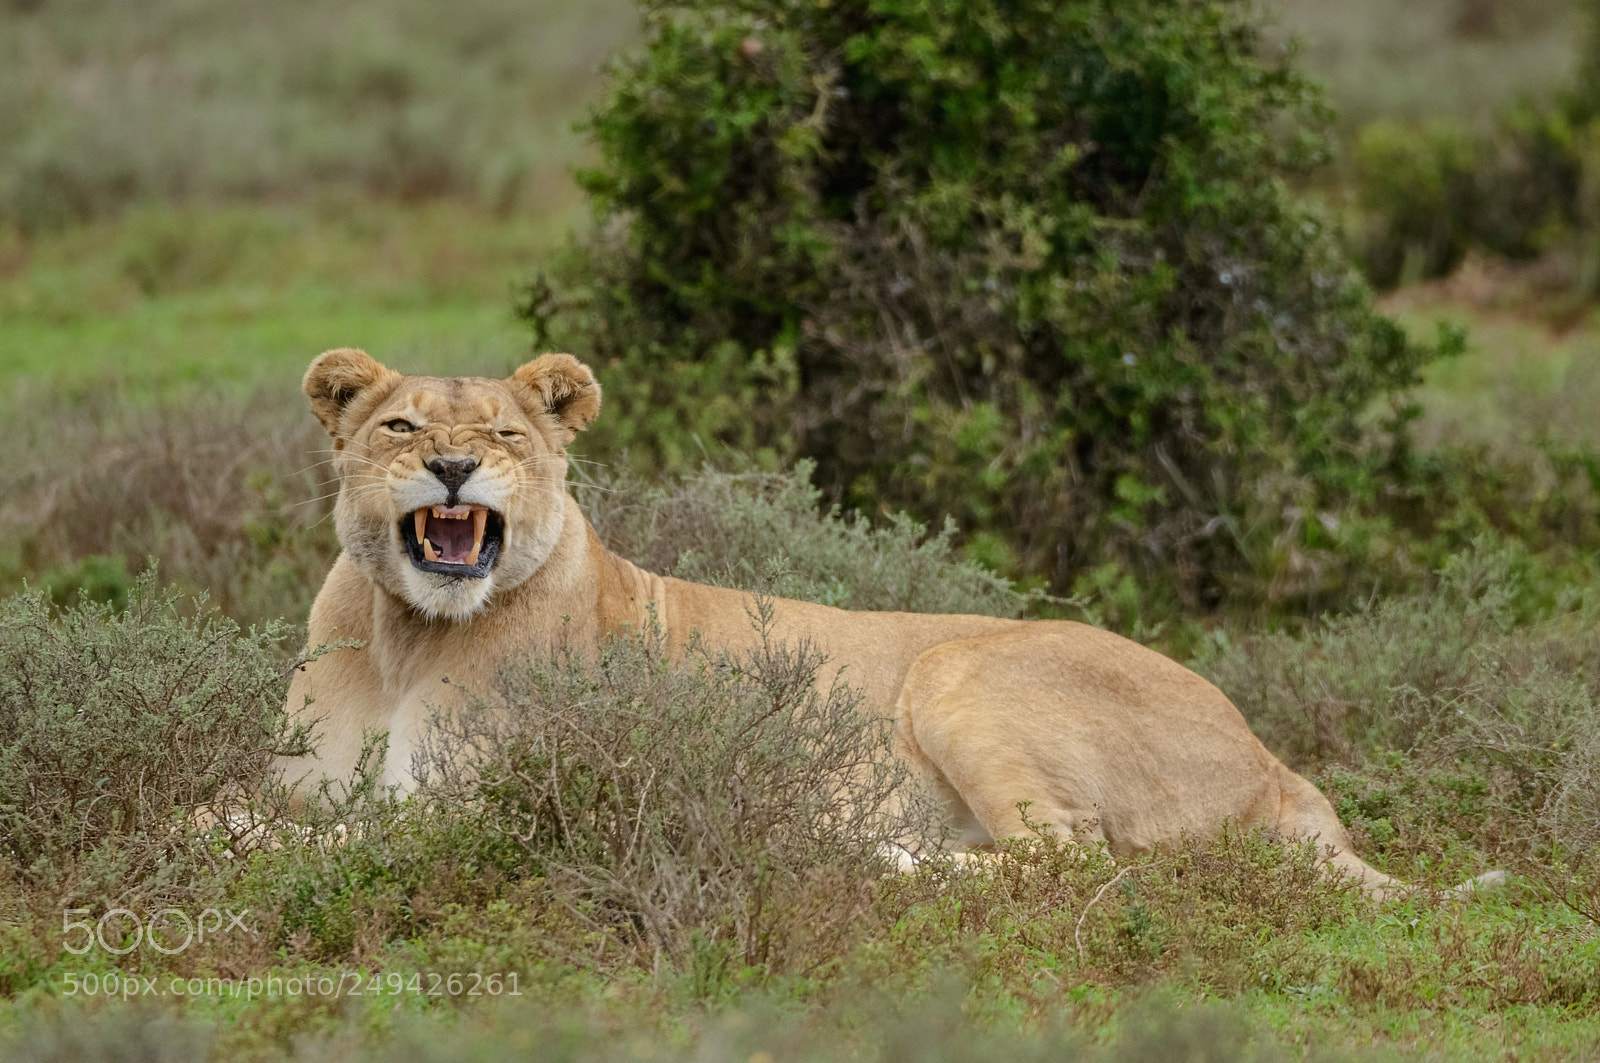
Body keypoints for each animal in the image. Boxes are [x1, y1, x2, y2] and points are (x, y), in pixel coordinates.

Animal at [278, 347, 1503, 899]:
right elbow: (257, 820)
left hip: (961, 671)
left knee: (1067, 861)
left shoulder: (479, 809)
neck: (410, 632)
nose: (452, 467)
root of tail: (1275, 758)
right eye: (399, 427)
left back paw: (879, 857)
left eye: (505, 432)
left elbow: (321, 840)